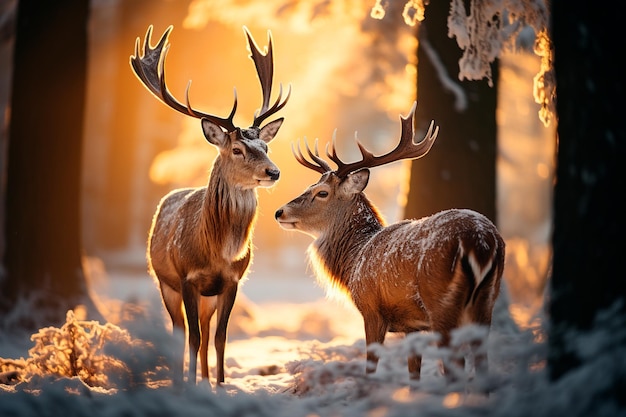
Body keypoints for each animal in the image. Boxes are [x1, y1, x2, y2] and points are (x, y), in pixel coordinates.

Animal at [131, 25, 290, 384]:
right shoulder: (187, 277)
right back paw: (182, 379)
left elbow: (219, 338)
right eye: (237, 150)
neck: (217, 251)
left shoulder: (231, 282)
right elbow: (191, 337)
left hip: (208, 296)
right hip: (165, 282)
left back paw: (203, 377)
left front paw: (218, 384)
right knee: (180, 331)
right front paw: (190, 386)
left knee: (204, 331)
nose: (273, 172)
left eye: (265, 146)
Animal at [272, 101, 502, 380]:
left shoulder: (371, 310)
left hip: (442, 302)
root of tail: (480, 241)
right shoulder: (412, 326)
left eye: (322, 193)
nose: (279, 212)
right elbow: (413, 372)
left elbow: (371, 365)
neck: (354, 262)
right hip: (487, 301)